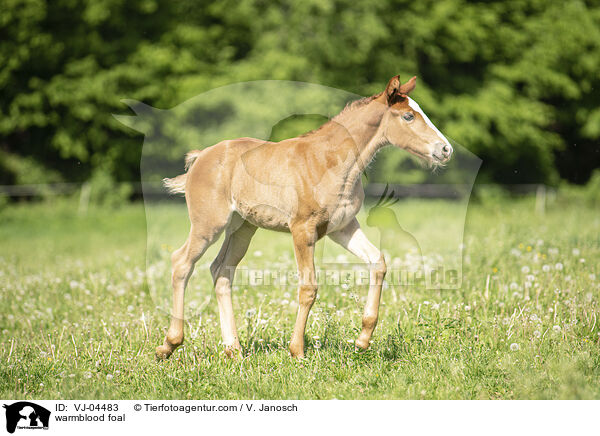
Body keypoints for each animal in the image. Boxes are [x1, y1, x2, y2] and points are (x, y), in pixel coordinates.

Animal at [157, 76, 452, 362]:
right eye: (408, 116)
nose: (445, 149)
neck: (330, 162)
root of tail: (201, 157)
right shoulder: (302, 229)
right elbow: (308, 288)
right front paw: (297, 351)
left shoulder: (343, 227)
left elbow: (378, 262)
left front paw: (362, 340)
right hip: (208, 225)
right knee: (182, 263)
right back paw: (169, 345)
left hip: (242, 228)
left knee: (221, 271)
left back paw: (234, 350)